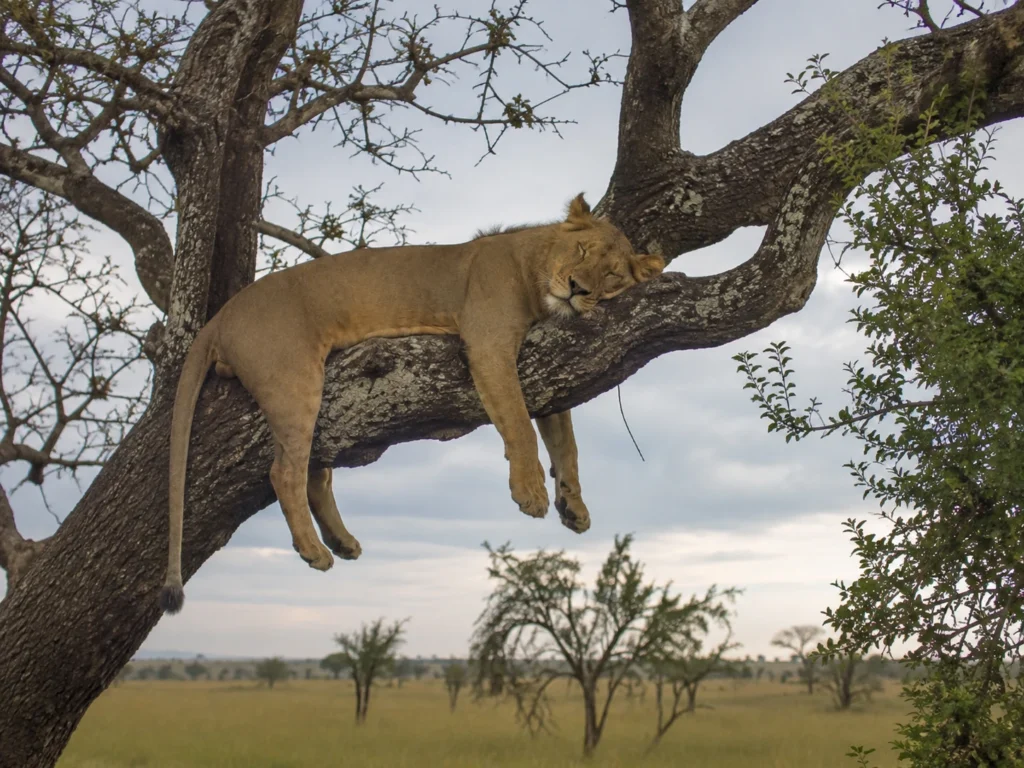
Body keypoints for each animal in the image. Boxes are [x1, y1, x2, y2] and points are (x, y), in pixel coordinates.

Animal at [161, 194, 664, 613]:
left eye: (612, 274)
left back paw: (342, 542)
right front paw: (531, 494)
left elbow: (567, 443)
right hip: (293, 379)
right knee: (284, 471)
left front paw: (574, 506)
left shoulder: (550, 370)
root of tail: (221, 315)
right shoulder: (488, 344)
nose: (577, 288)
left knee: (314, 473)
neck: (534, 264)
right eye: (581, 252)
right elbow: (519, 425)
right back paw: (315, 552)